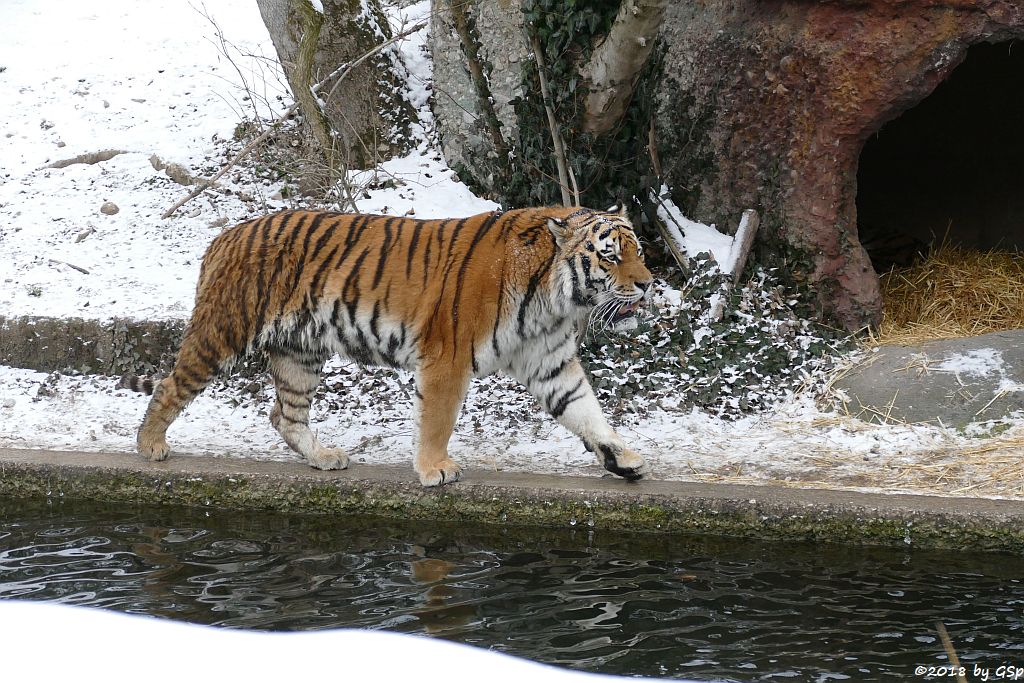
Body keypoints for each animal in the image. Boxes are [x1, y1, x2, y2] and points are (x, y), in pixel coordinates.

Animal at [119, 204, 647, 485]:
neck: (554, 298)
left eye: (638, 251)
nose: (648, 283)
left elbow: (586, 410)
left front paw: (622, 458)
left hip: (299, 352)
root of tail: (224, 237)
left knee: (285, 414)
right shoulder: (447, 357)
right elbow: (437, 420)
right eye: (609, 256)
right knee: (170, 384)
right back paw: (151, 446)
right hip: (224, 332)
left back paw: (323, 458)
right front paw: (435, 469)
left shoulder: (549, 362)